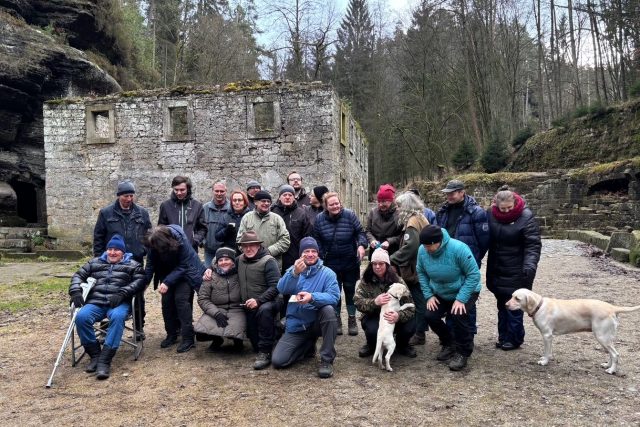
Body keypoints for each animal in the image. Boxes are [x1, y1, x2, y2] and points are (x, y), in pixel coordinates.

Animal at [504, 288, 640, 374]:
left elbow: (547, 351)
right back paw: (607, 365)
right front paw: (545, 358)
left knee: (615, 354)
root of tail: (612, 307)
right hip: (607, 338)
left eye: (517, 298)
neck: (539, 306)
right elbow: (548, 351)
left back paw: (611, 370)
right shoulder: (549, 337)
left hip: (602, 337)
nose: (505, 305)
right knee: (611, 353)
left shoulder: (547, 335)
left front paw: (544, 362)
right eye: (511, 296)